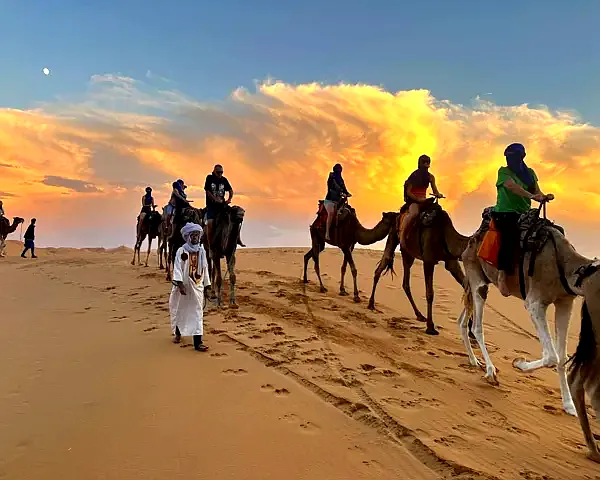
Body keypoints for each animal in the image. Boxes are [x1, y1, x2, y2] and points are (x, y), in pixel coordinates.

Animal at [368, 197, 472, 336]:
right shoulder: (428, 260)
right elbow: (430, 293)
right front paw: (430, 327)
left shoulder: (451, 261)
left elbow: (468, 290)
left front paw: (471, 332)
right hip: (395, 237)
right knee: (386, 263)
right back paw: (371, 304)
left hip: (407, 252)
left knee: (403, 280)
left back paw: (419, 315)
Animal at [458, 203, 596, 420]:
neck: (565, 265)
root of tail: (471, 239)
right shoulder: (535, 302)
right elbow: (552, 356)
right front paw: (519, 363)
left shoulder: (565, 301)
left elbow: (562, 357)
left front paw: (569, 405)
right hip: (476, 274)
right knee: (477, 326)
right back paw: (491, 372)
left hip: (478, 281)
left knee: (464, 318)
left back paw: (474, 361)